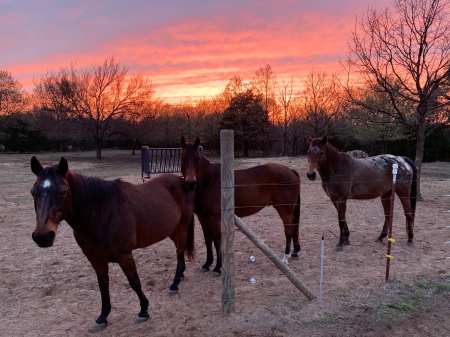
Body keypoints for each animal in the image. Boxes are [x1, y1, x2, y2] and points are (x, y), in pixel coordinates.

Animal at [29, 156, 195, 332]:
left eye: (63, 191)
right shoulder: (95, 260)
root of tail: (182, 180)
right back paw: (181, 275)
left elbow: (135, 282)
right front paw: (103, 317)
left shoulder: (125, 256)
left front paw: (143, 310)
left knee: (179, 252)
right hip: (171, 230)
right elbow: (103, 285)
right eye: (33, 192)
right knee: (180, 250)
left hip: (182, 226)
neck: (101, 215)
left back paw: (175, 284)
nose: (42, 237)